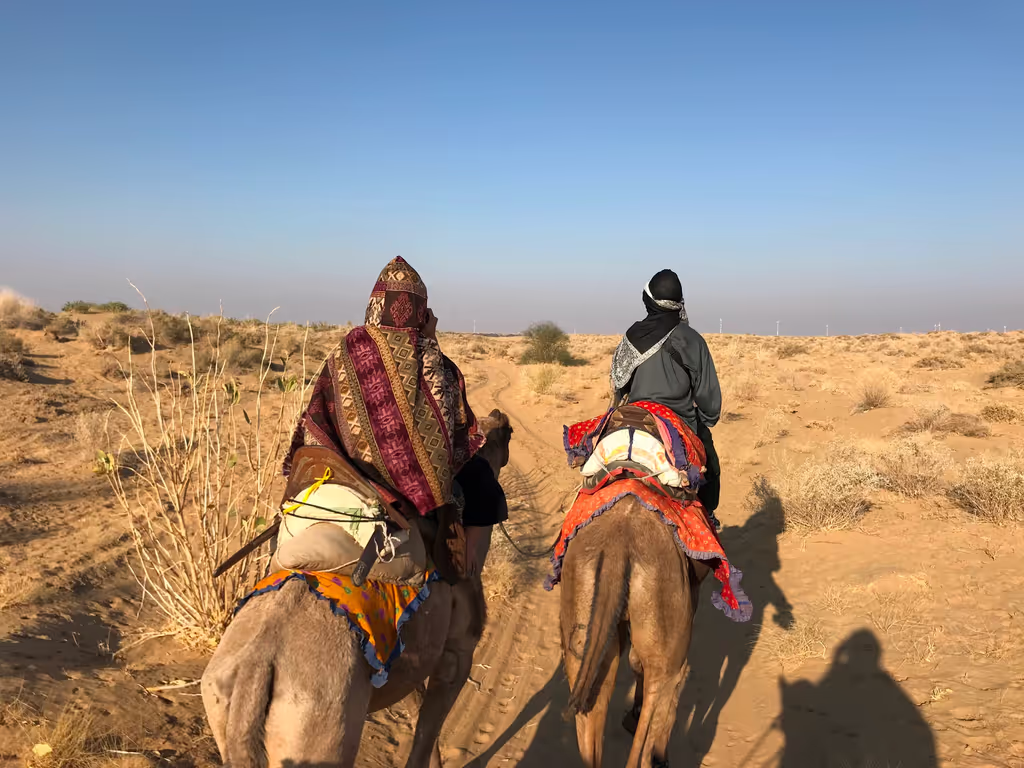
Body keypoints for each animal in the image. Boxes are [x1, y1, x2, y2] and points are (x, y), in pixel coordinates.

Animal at [201, 410, 513, 768]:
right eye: (507, 433)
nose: (501, 416)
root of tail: (253, 673)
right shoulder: (457, 655)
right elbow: (426, 731)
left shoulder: (401, 654)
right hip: (319, 728)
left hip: (223, 705)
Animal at [560, 495, 706, 768]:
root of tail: (617, 550)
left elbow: (634, 661)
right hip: (667, 644)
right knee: (661, 694)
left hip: (582, 622)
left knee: (591, 716)